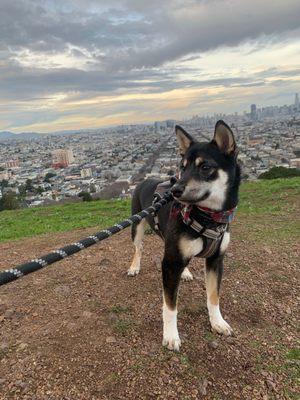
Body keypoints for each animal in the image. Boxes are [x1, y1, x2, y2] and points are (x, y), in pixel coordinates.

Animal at [127, 121, 240, 350]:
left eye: (205, 167)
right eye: (182, 166)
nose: (175, 190)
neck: (208, 216)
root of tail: (143, 180)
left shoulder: (216, 260)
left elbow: (213, 296)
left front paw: (217, 322)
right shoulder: (170, 263)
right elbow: (170, 305)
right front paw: (171, 335)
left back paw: (186, 272)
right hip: (137, 225)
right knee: (138, 247)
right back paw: (135, 266)